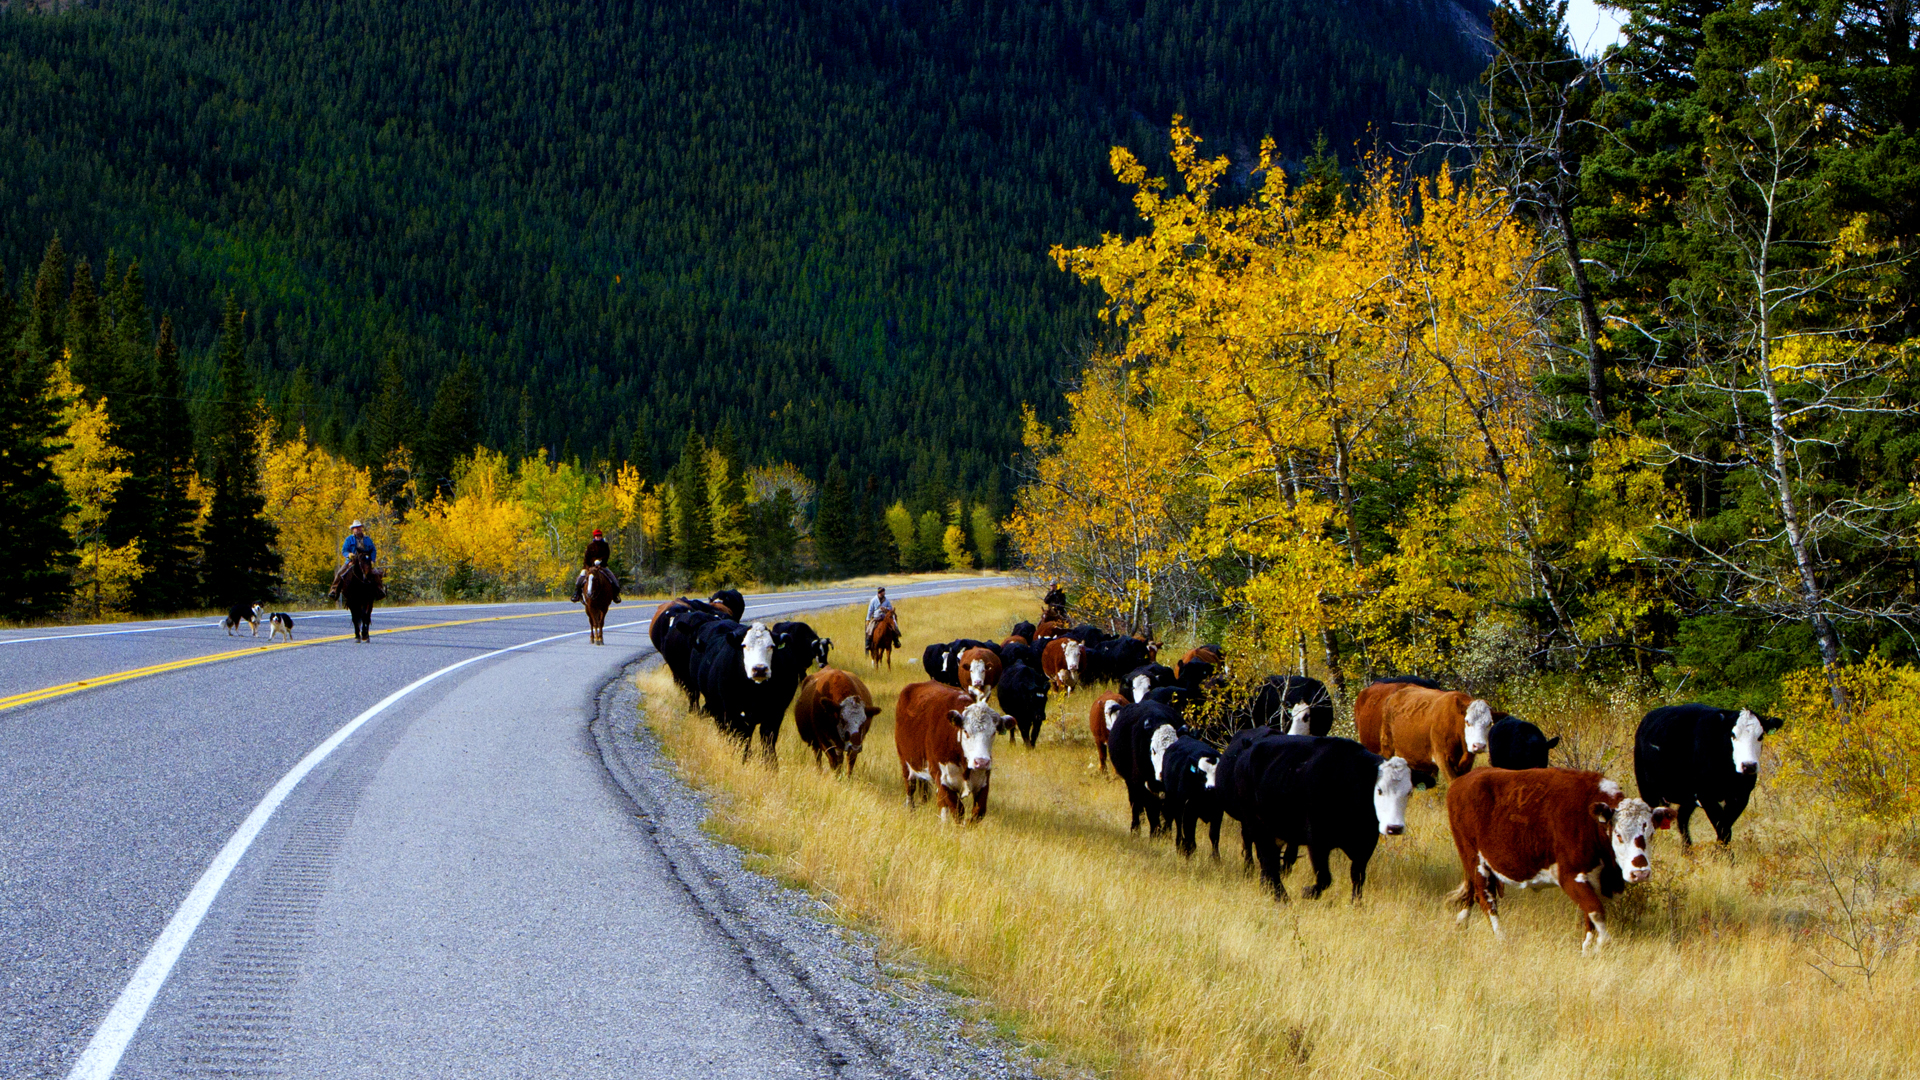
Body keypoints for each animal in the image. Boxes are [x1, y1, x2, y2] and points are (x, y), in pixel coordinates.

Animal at [894, 676, 1013, 818]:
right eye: (966, 731)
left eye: (993, 732)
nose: (981, 762)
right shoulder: (942, 779)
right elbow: (958, 810)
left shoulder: (983, 782)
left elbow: (978, 812)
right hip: (905, 761)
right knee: (910, 789)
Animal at [1221, 730, 1420, 899]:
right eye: (1379, 790)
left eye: (1409, 792)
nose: (1394, 827)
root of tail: (1248, 747)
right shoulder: (1317, 841)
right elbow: (1324, 878)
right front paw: (1307, 892)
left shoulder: (1365, 843)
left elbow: (1358, 876)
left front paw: (1357, 905)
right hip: (1255, 824)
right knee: (1267, 859)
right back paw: (1282, 898)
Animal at [1443, 764, 1674, 949]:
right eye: (1618, 834)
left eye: (1651, 833)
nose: (1640, 872)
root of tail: (1462, 781)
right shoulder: (1570, 876)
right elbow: (1596, 912)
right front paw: (1601, 945)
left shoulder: (1594, 881)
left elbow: (1590, 918)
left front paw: (1587, 950)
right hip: (1474, 859)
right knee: (1486, 899)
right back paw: (1502, 939)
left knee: (1472, 893)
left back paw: (1461, 923)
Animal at [1635, 703, 1781, 845]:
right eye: (1733, 735)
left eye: (1760, 736)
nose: (1748, 765)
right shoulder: (1706, 795)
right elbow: (1722, 829)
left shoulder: (1741, 795)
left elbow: (1725, 829)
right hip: (1647, 790)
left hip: (1687, 796)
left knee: (1682, 818)